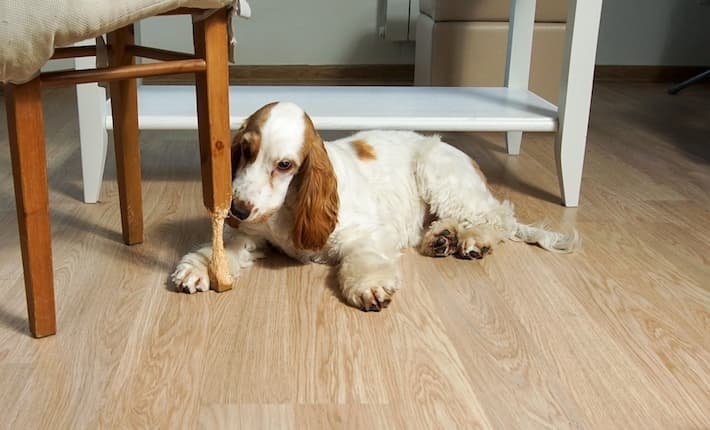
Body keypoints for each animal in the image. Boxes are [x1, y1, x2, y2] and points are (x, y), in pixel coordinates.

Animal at [171, 102, 580, 310]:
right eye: (246, 150)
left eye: (285, 165)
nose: (237, 210)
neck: (291, 205)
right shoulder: (255, 234)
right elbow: (223, 248)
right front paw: (198, 269)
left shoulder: (366, 233)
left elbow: (362, 259)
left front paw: (369, 288)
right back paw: (443, 238)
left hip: (439, 172)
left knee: (499, 217)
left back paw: (471, 240)